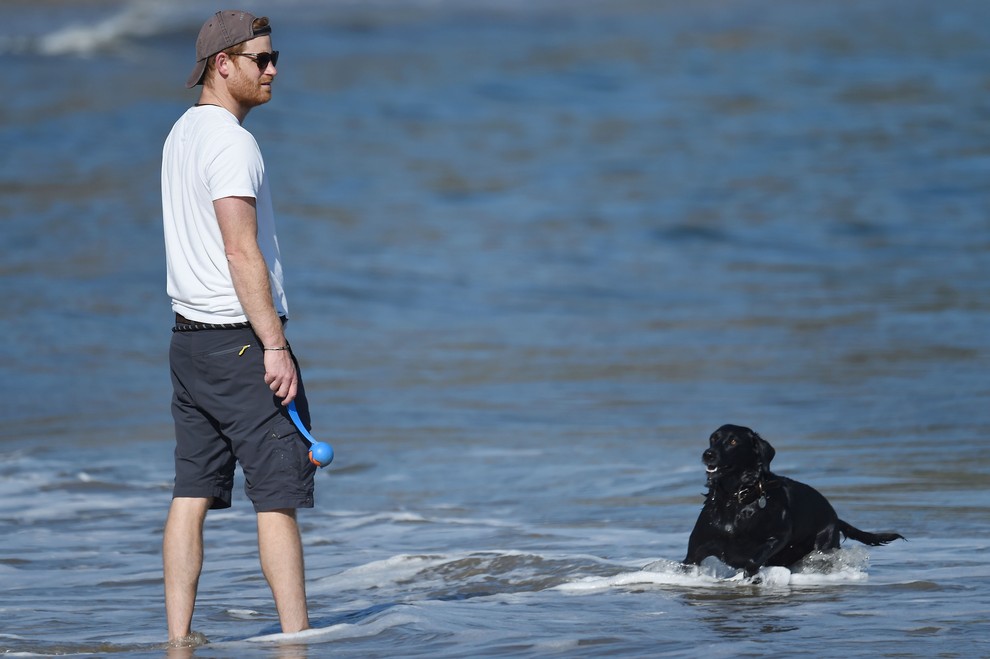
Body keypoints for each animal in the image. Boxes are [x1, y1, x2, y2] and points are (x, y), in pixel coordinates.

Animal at [684, 426, 904, 576]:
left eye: (733, 442)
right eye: (713, 439)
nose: (708, 454)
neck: (736, 499)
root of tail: (835, 516)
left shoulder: (779, 536)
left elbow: (753, 560)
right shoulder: (694, 553)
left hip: (824, 543)